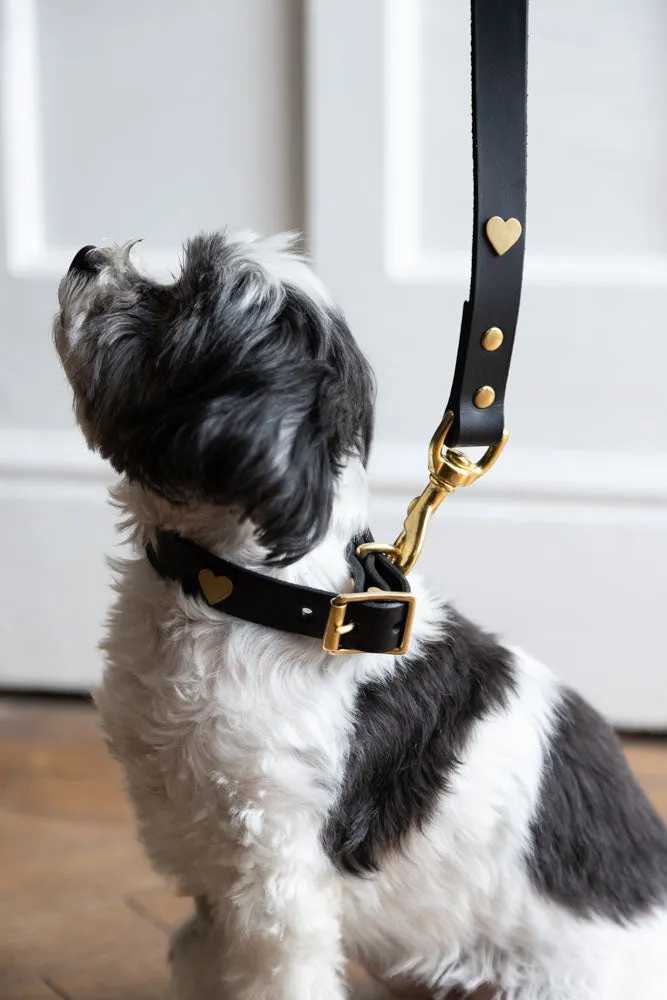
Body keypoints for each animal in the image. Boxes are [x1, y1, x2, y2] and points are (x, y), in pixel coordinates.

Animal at [54, 234, 667, 1000]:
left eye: (181, 300)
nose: (85, 254)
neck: (252, 595)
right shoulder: (212, 878)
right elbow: (198, 956)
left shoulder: (277, 876)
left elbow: (276, 975)